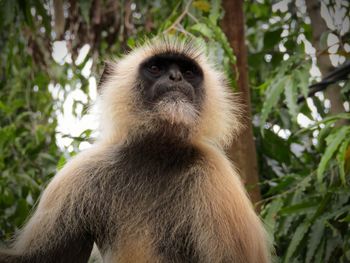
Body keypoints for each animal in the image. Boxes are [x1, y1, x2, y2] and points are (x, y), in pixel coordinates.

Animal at [0, 37, 270, 263]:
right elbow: (44, 257)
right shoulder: (81, 172)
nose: (176, 78)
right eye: (156, 68)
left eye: (188, 72)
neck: (156, 153)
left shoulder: (218, 177)